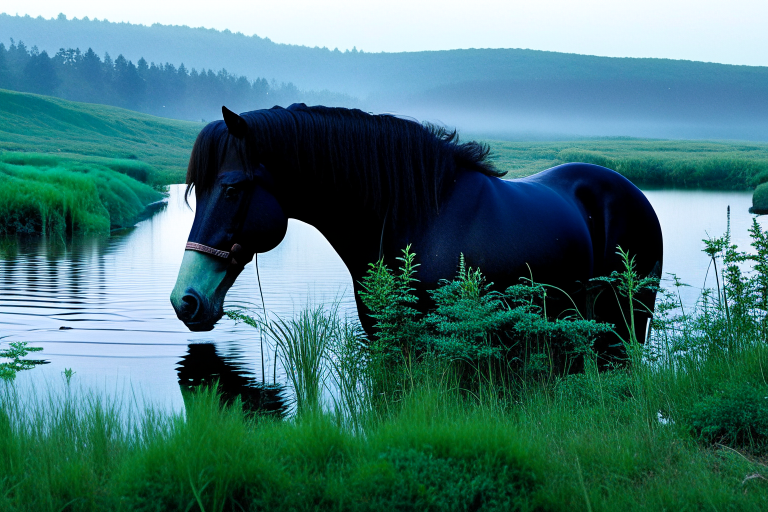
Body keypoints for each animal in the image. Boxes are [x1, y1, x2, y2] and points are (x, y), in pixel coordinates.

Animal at [171, 104, 664, 360]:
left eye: (231, 188)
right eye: (195, 192)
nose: (185, 300)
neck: (418, 218)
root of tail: (635, 193)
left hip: (629, 321)